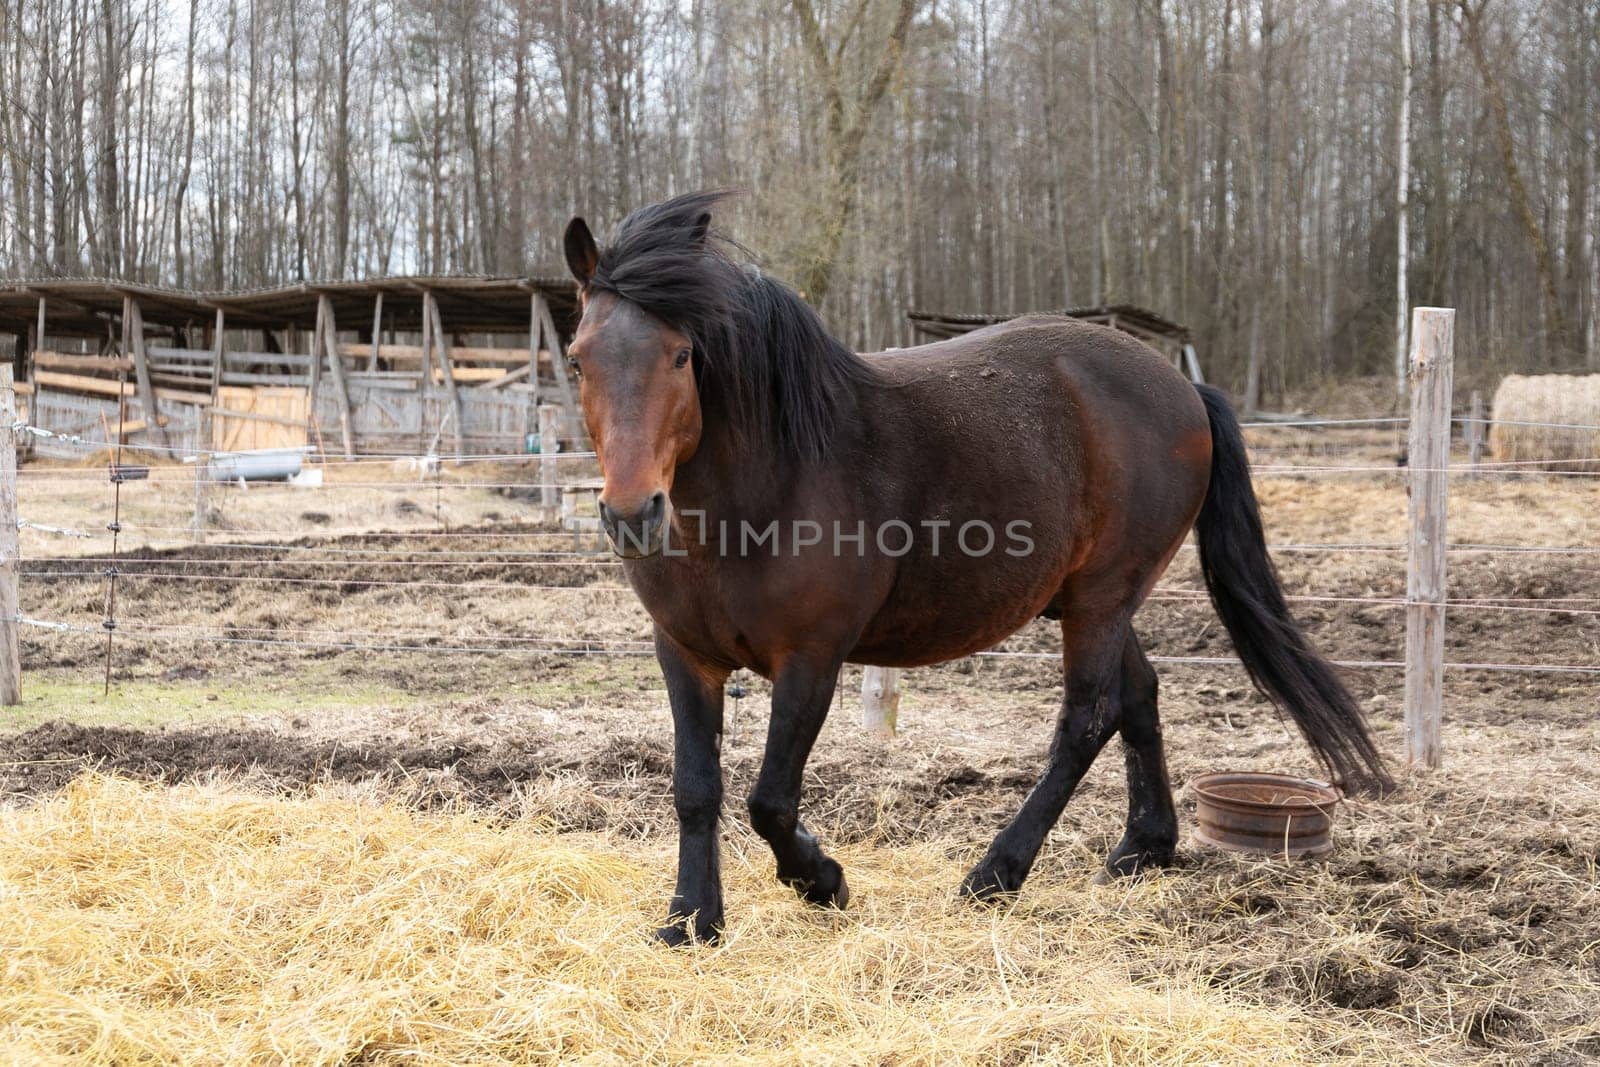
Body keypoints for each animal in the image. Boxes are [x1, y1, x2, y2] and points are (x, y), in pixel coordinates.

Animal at [563, 191, 1388, 940]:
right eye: (577, 360)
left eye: (682, 355)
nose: (632, 513)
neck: (764, 487)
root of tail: (1183, 384)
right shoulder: (685, 653)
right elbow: (695, 787)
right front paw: (691, 918)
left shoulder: (811, 659)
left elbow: (770, 799)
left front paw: (823, 879)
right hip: (1095, 600)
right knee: (1139, 696)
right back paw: (1142, 849)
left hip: (1102, 597)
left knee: (1086, 720)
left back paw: (996, 873)